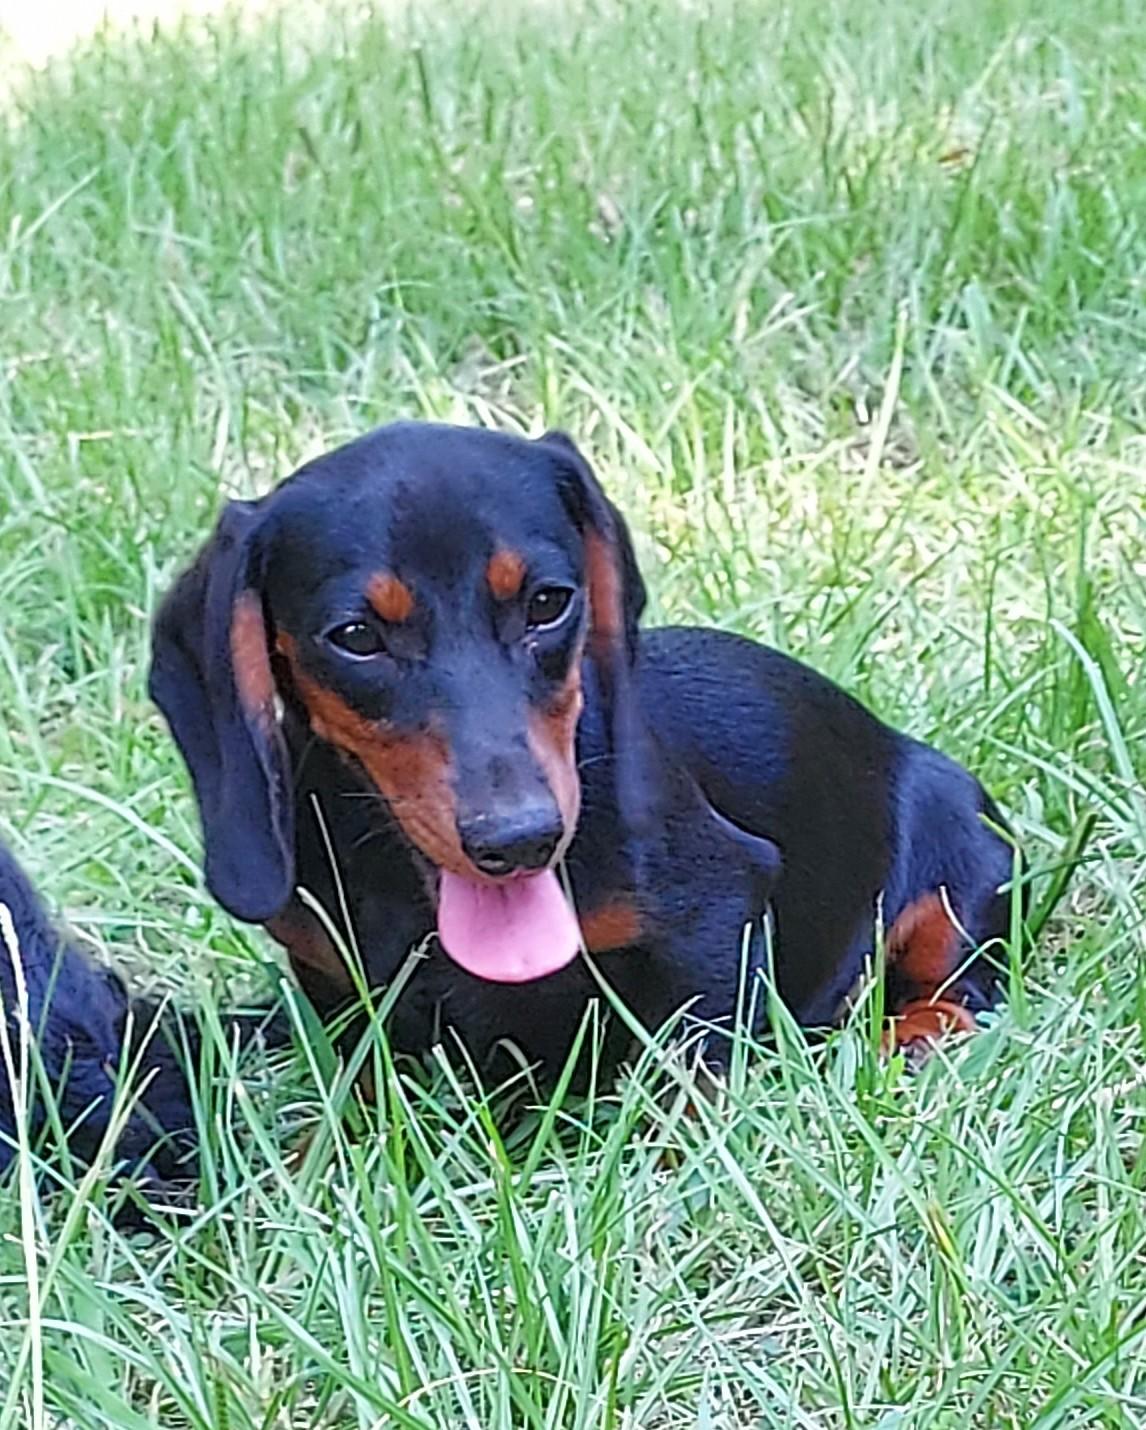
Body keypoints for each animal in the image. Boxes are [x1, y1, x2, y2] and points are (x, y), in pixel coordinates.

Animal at [150, 422, 1017, 1086]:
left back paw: (915, 1035)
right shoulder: (341, 984)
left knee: (965, 984)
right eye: (356, 637)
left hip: (965, 856)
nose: (520, 839)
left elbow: (688, 1087)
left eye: (547, 602)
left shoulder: (717, 914)